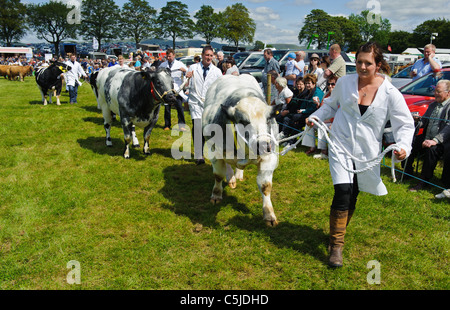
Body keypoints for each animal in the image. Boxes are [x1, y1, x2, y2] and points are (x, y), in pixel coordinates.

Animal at [203, 74, 284, 226]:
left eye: (268, 119)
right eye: (243, 121)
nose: (263, 145)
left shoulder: (270, 158)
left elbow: (265, 186)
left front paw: (269, 214)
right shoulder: (215, 152)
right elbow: (218, 175)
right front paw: (216, 195)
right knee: (228, 166)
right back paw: (231, 178)